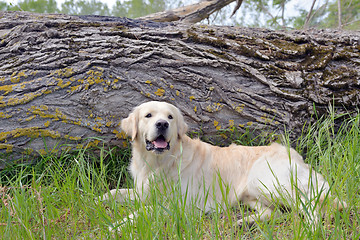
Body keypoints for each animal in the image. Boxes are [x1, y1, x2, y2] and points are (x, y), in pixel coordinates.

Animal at [101, 100, 346, 228]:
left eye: (170, 117)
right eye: (148, 115)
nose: (162, 124)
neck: (158, 163)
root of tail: (293, 154)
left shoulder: (178, 205)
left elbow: (139, 213)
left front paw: (114, 226)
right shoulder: (142, 191)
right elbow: (113, 193)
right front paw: (98, 201)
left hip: (266, 181)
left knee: (309, 205)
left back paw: (312, 227)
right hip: (250, 195)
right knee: (273, 213)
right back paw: (244, 222)